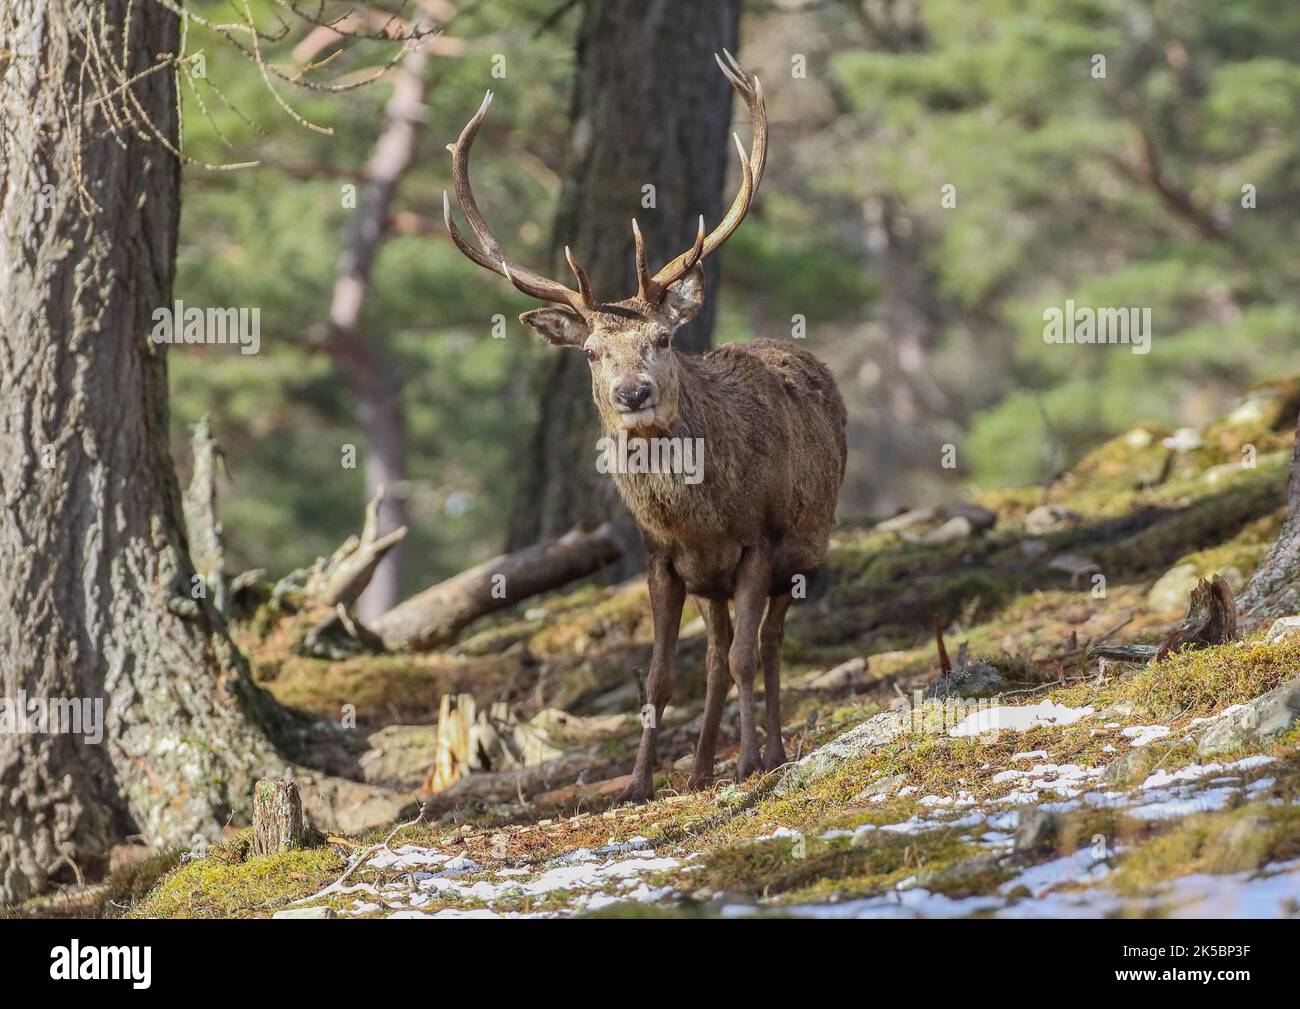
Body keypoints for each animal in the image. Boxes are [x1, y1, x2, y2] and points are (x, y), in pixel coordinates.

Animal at [444, 51, 846, 803]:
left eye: (662, 338)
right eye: (591, 352)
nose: (633, 393)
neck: (698, 518)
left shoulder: (758, 542)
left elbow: (748, 657)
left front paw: (749, 764)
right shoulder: (661, 558)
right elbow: (660, 675)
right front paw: (637, 783)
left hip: (803, 552)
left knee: (767, 645)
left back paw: (769, 751)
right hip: (713, 582)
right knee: (713, 653)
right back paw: (700, 767)